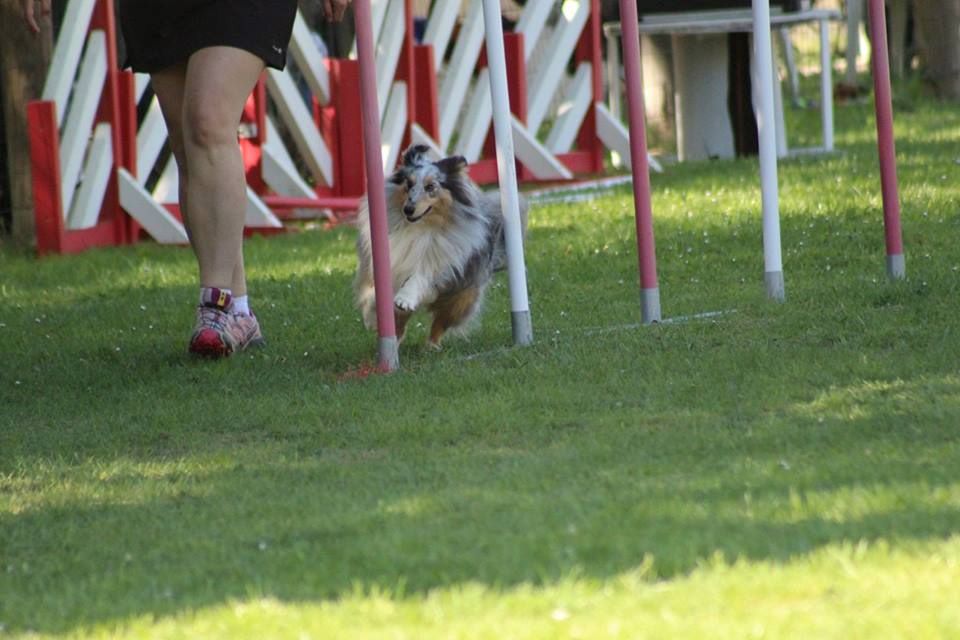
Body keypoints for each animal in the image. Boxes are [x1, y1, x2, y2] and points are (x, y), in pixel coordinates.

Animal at [356, 144, 528, 348]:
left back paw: (431, 346)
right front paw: (371, 313)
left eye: (430, 187)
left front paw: (404, 299)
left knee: (439, 323)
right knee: (401, 324)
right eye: (409, 184)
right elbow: (373, 292)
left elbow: (419, 278)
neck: (421, 228)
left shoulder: (441, 264)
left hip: (461, 298)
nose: (408, 209)